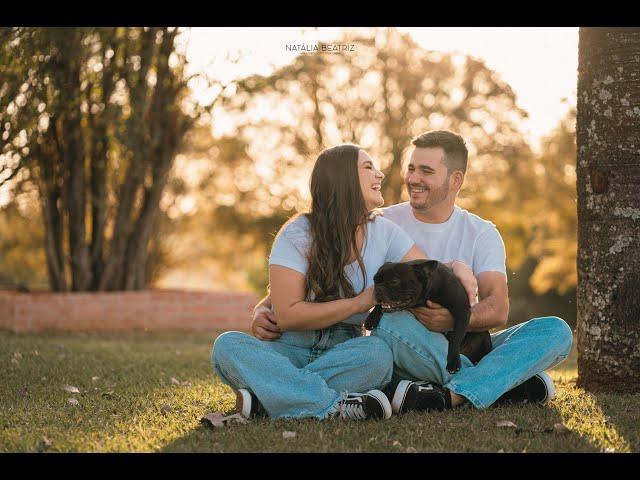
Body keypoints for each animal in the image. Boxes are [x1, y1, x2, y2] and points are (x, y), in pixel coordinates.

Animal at [362, 260, 492, 374]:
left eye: (394, 281)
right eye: (375, 280)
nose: (377, 289)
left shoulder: (462, 310)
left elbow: (456, 337)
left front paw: (453, 362)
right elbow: (379, 305)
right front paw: (371, 318)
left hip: (483, 336)